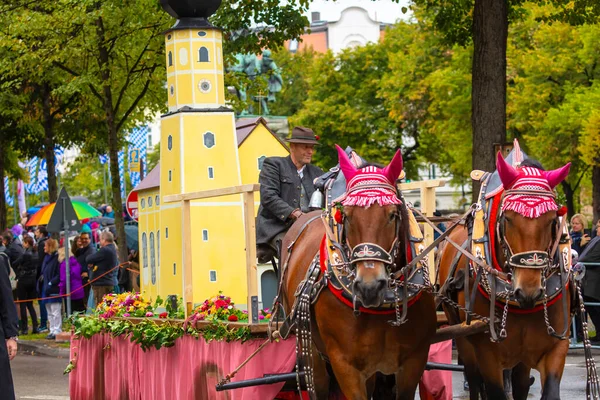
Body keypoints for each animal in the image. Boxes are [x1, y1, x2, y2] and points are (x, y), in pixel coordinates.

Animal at [278, 147, 438, 400]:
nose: (369, 287)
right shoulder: (345, 366)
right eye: (347, 215)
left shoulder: (415, 361)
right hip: (310, 349)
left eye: (392, 214)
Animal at [438, 152, 576, 398]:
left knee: (520, 383)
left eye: (552, 220)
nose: (529, 292)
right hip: (462, 336)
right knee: (474, 380)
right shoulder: (488, 354)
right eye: (507, 219)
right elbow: (494, 390)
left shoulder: (556, 346)